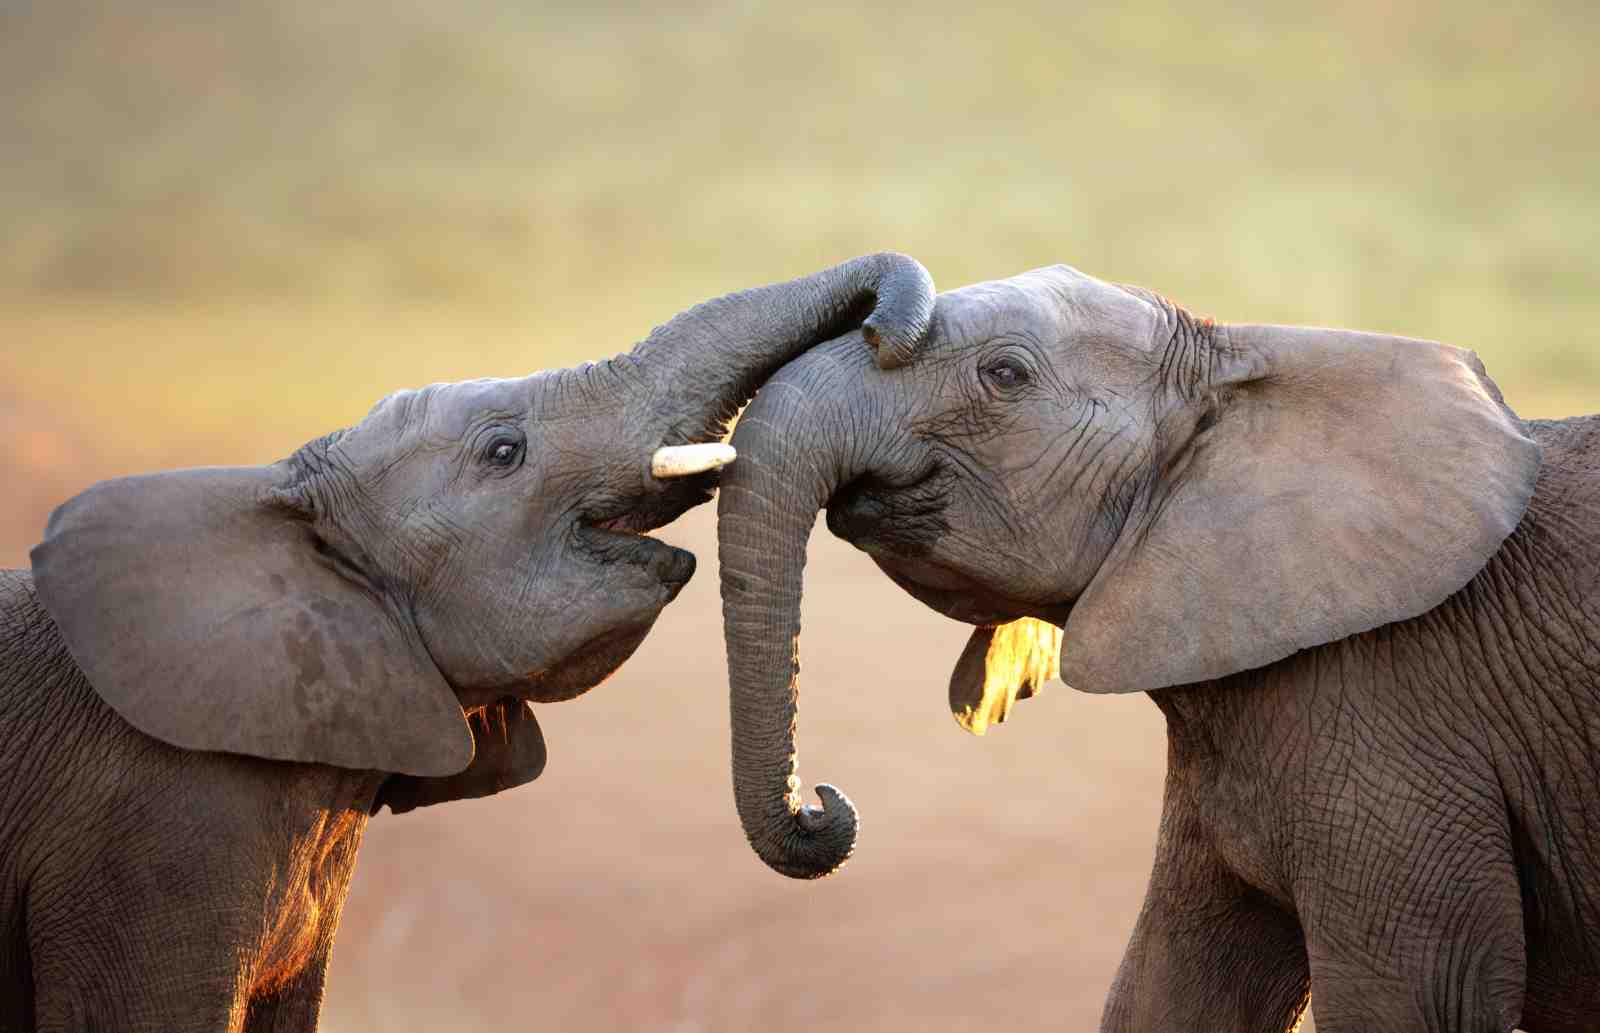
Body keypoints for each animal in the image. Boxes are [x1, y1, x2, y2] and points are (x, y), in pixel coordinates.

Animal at [715, 263, 1600, 1033]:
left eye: (1005, 374)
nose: (821, 803)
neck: (1239, 361)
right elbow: (1172, 987)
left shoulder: (1395, 714)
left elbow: (1414, 1000)